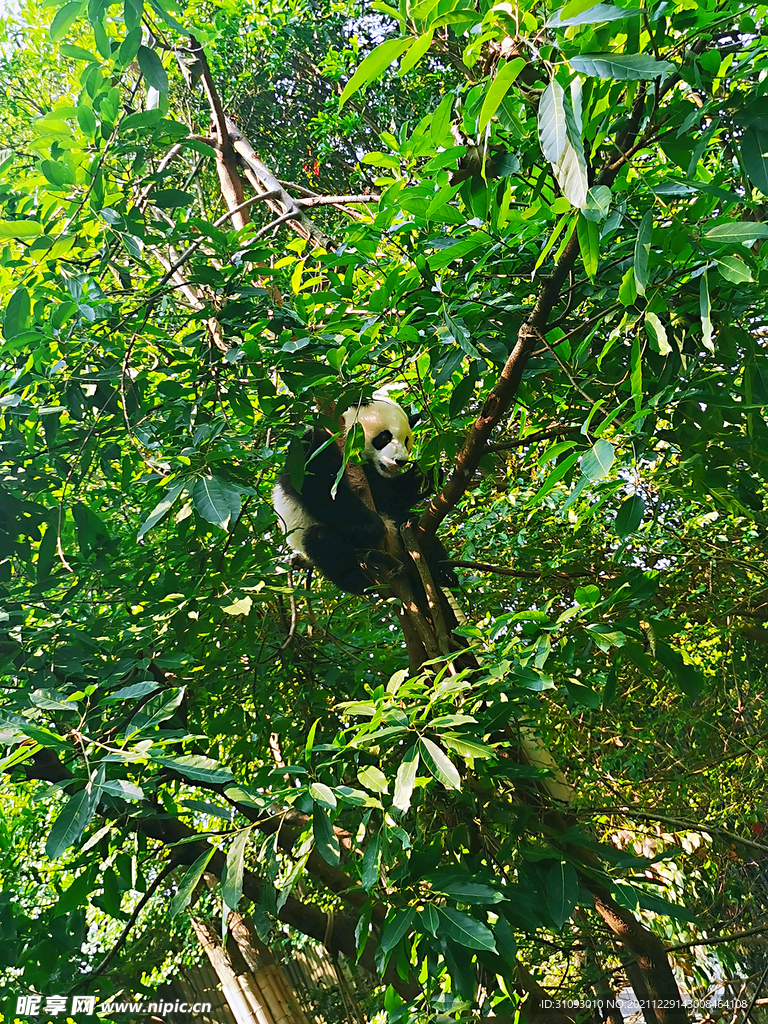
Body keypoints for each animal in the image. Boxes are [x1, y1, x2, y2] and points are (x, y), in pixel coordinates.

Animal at [274, 395, 460, 598]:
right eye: (385, 437)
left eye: (407, 441)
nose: (400, 461)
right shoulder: (316, 445)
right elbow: (315, 486)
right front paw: (370, 525)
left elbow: (387, 496)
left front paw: (426, 475)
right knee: (322, 543)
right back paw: (362, 579)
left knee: (414, 524)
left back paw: (442, 572)